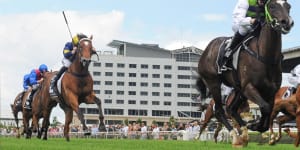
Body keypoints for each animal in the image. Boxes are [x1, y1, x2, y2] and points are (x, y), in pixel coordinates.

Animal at [197, 0, 292, 146]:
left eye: (288, 6)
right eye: (272, 6)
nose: (286, 22)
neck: (264, 56)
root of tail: (207, 49)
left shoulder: (271, 91)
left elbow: (268, 111)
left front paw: (256, 127)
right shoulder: (249, 87)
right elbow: (264, 107)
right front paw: (254, 125)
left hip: (238, 89)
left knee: (231, 109)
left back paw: (244, 134)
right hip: (213, 83)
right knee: (219, 110)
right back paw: (235, 136)